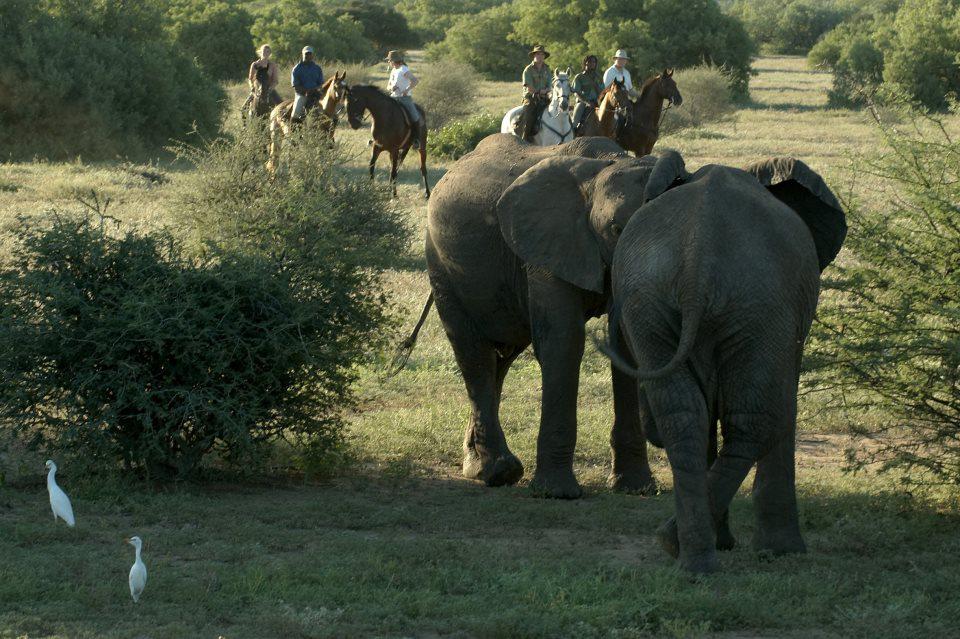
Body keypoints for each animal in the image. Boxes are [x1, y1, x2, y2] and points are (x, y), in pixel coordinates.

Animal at [420, 132, 668, 498]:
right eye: (615, 228)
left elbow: (625, 344)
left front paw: (637, 488)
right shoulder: (545, 247)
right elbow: (564, 341)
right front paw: (557, 493)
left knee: (501, 358)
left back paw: (479, 466)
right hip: (441, 263)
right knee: (475, 354)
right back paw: (498, 472)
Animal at [600, 151, 848, 576]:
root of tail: (698, 258)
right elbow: (783, 398)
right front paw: (780, 550)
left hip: (648, 298)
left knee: (685, 416)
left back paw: (689, 557)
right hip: (758, 305)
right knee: (752, 421)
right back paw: (683, 548)